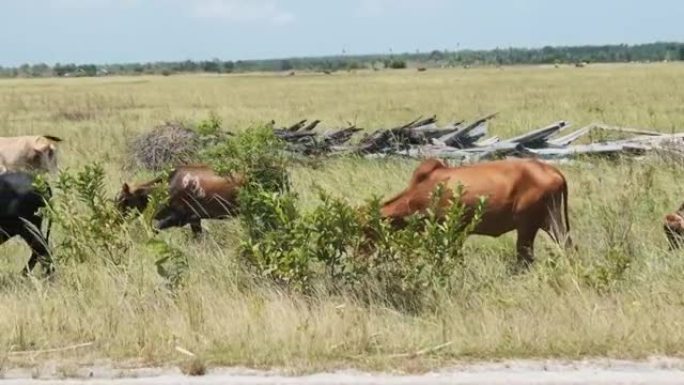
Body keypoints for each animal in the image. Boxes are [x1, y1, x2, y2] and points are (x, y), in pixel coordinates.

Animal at [368, 158, 572, 266]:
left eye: (367, 229)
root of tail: (551, 170)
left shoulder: (454, 229)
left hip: (527, 226)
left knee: (525, 256)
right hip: (550, 223)